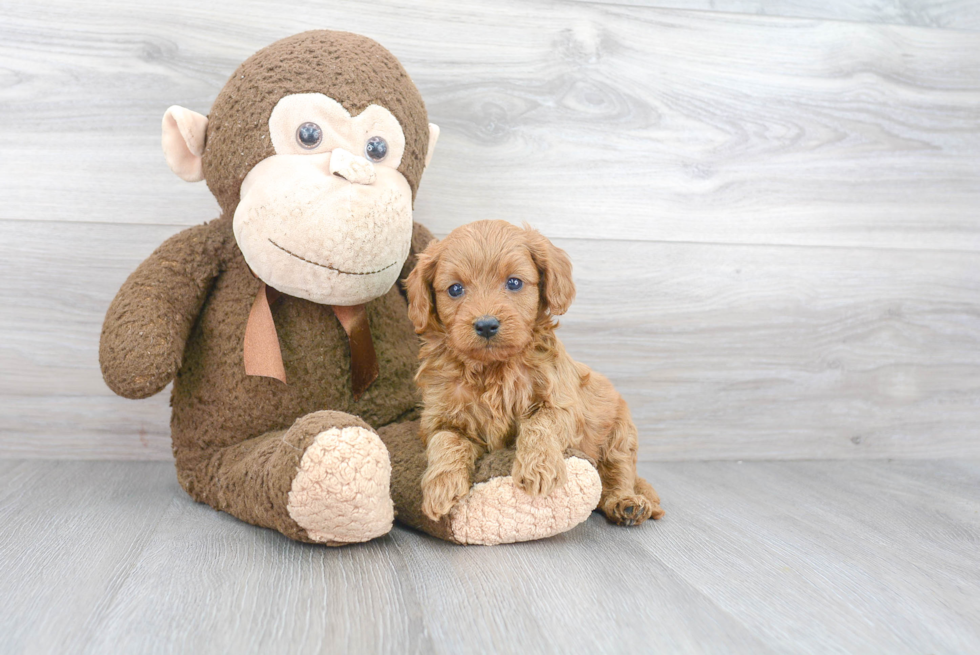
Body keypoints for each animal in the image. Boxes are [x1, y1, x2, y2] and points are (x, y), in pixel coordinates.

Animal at [406, 220, 668, 528]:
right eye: (455, 289)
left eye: (514, 282)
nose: (486, 325)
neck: (493, 368)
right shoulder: (439, 418)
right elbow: (446, 441)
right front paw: (441, 485)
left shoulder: (561, 403)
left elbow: (539, 423)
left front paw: (538, 468)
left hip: (620, 434)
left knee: (619, 473)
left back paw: (626, 503)